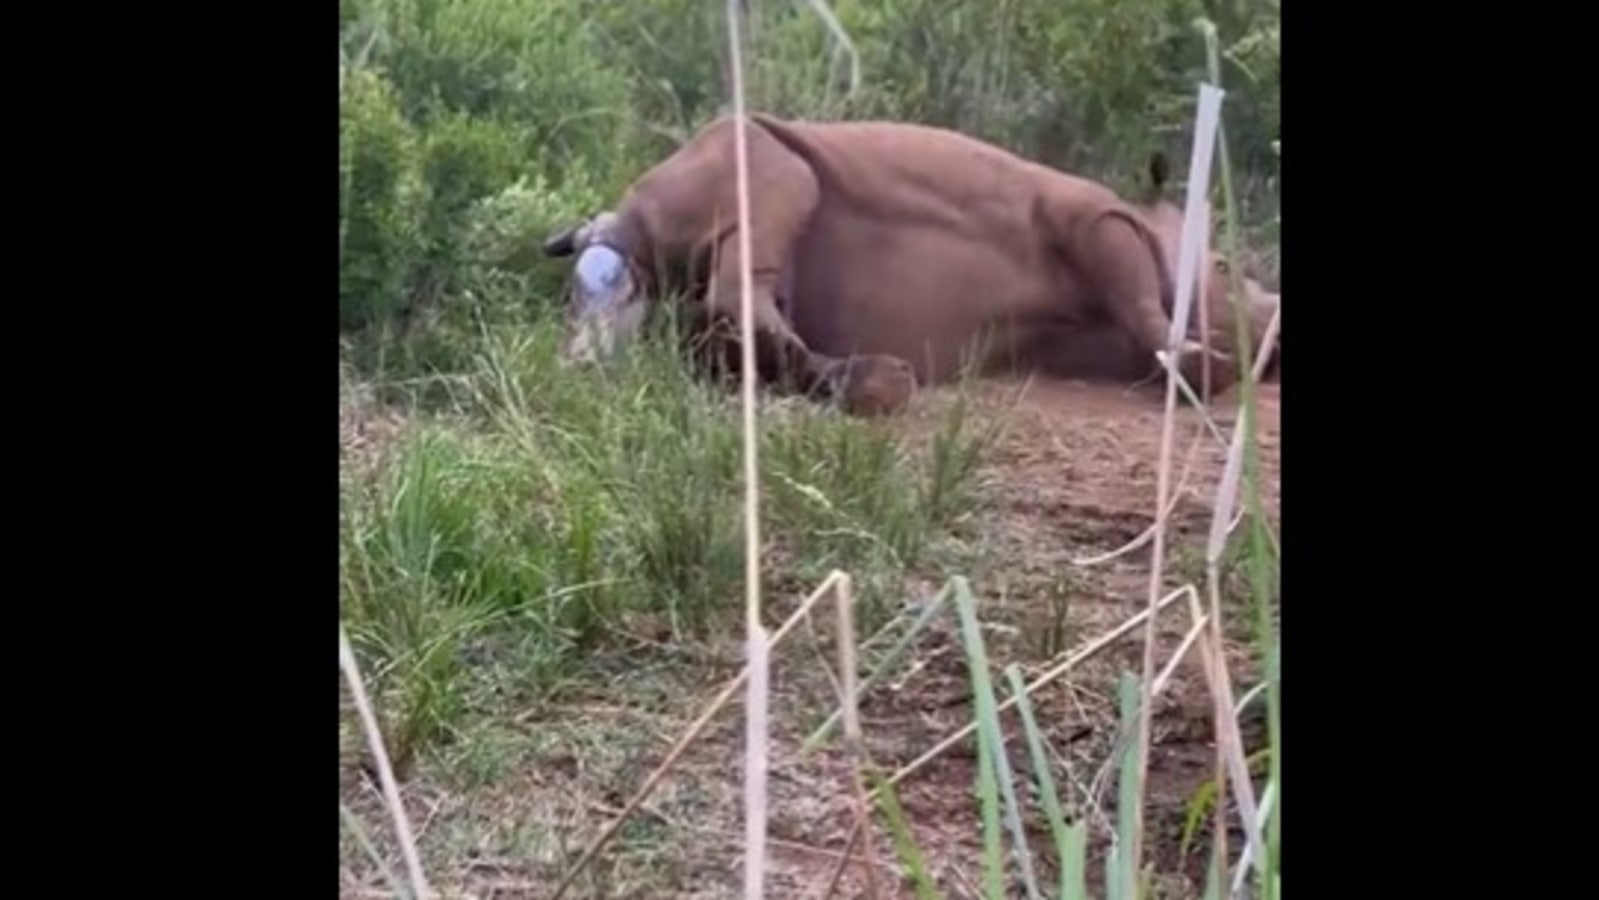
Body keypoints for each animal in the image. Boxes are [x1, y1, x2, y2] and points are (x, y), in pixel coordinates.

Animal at [543, 113, 1279, 418]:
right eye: (1222, 266)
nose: (1274, 316)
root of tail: (625, 225)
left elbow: (1134, 318)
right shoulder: (1096, 216)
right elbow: (1143, 304)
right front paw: (1203, 366)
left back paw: (868, 383)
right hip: (753, 150)